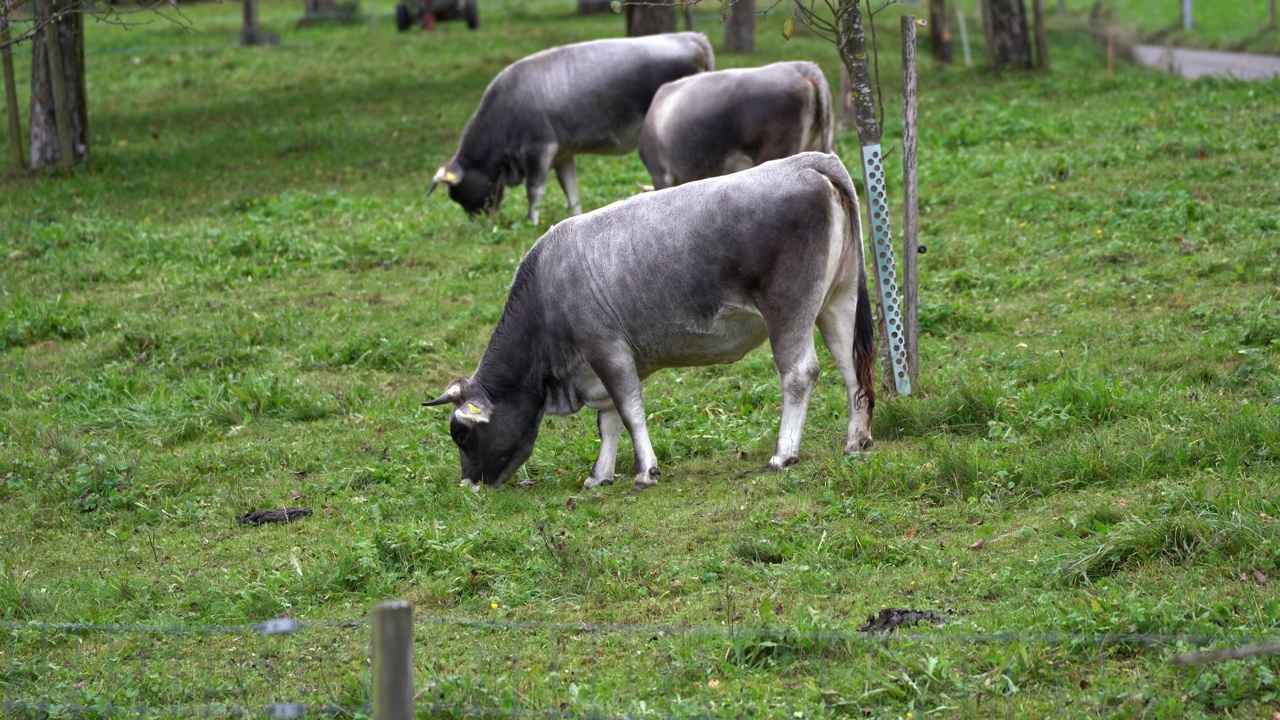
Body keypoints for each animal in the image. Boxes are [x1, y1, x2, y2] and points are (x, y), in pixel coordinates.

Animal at [424, 150, 875, 486]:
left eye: (460, 433)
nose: (468, 483)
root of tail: (806, 161)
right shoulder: (600, 365)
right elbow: (608, 421)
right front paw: (600, 476)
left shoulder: (607, 350)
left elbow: (629, 411)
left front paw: (644, 471)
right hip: (838, 301)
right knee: (852, 368)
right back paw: (856, 440)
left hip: (788, 308)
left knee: (799, 374)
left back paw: (783, 454)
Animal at [427, 32, 711, 222]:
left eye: (457, 194)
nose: (479, 223)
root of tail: (691, 37)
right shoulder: (563, 154)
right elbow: (571, 189)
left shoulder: (538, 150)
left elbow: (535, 191)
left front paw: (532, 221)